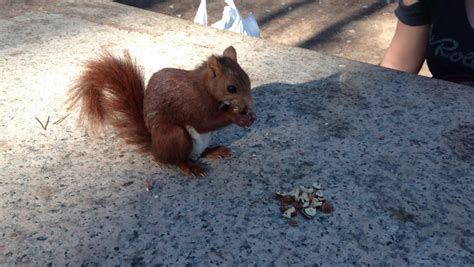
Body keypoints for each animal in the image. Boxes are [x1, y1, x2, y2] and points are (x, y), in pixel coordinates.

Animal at [66, 46, 256, 177]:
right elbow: (205, 122)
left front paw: (248, 114)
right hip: (173, 135)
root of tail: (155, 149)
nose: (248, 105)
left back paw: (215, 150)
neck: (204, 86)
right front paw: (238, 117)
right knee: (177, 160)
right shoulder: (192, 103)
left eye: (248, 78)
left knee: (200, 153)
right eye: (231, 88)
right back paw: (191, 167)